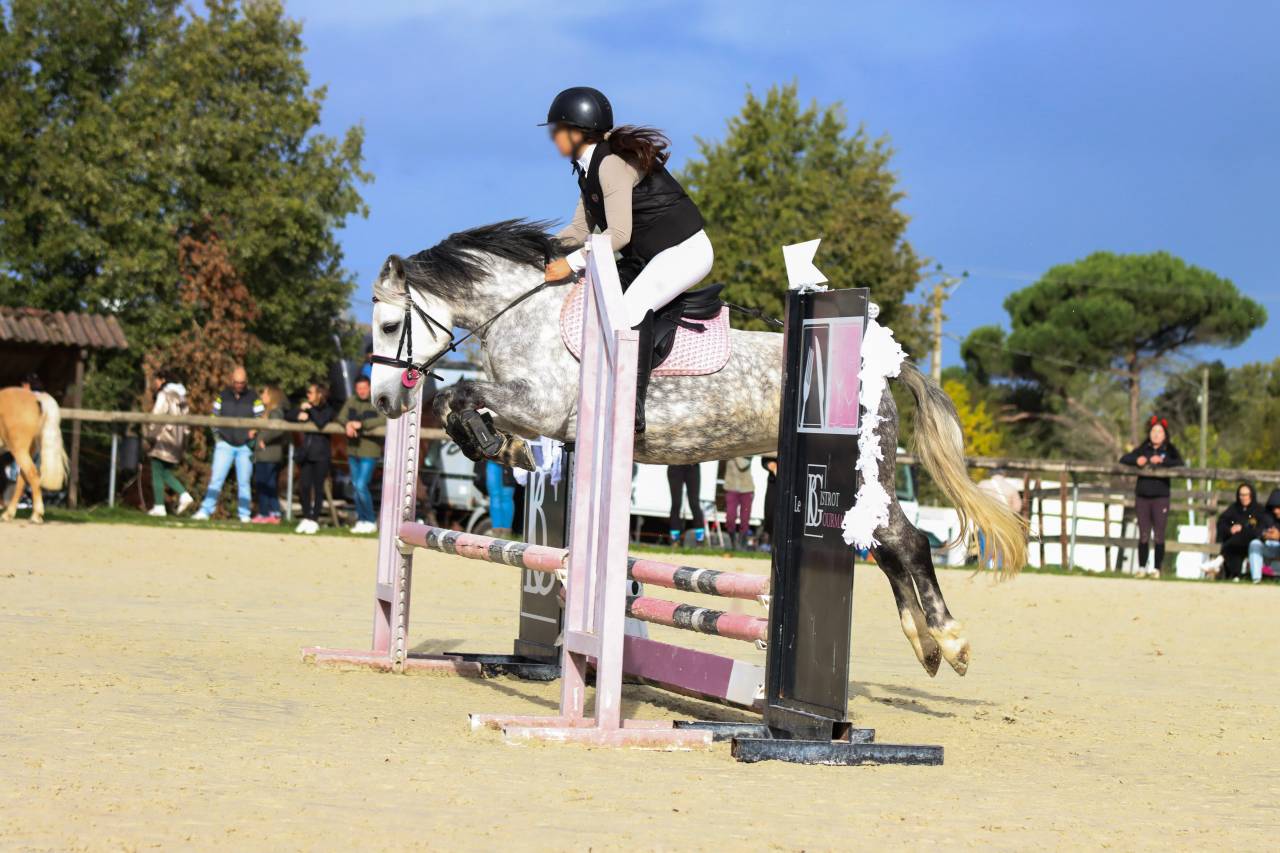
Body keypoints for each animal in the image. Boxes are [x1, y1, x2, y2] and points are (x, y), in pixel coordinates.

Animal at [0, 386, 67, 524]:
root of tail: (36, 397)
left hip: (19, 449)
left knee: (32, 475)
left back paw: (36, 515)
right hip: (27, 450)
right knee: (23, 479)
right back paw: (8, 514)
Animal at [368, 220, 1027, 676]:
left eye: (386, 326)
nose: (384, 401)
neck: (524, 314)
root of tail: (877, 369)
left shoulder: (543, 405)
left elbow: (460, 395)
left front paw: (492, 440)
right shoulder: (541, 415)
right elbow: (462, 407)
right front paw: (500, 446)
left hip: (869, 471)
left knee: (908, 542)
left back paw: (951, 644)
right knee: (886, 546)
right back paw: (926, 647)